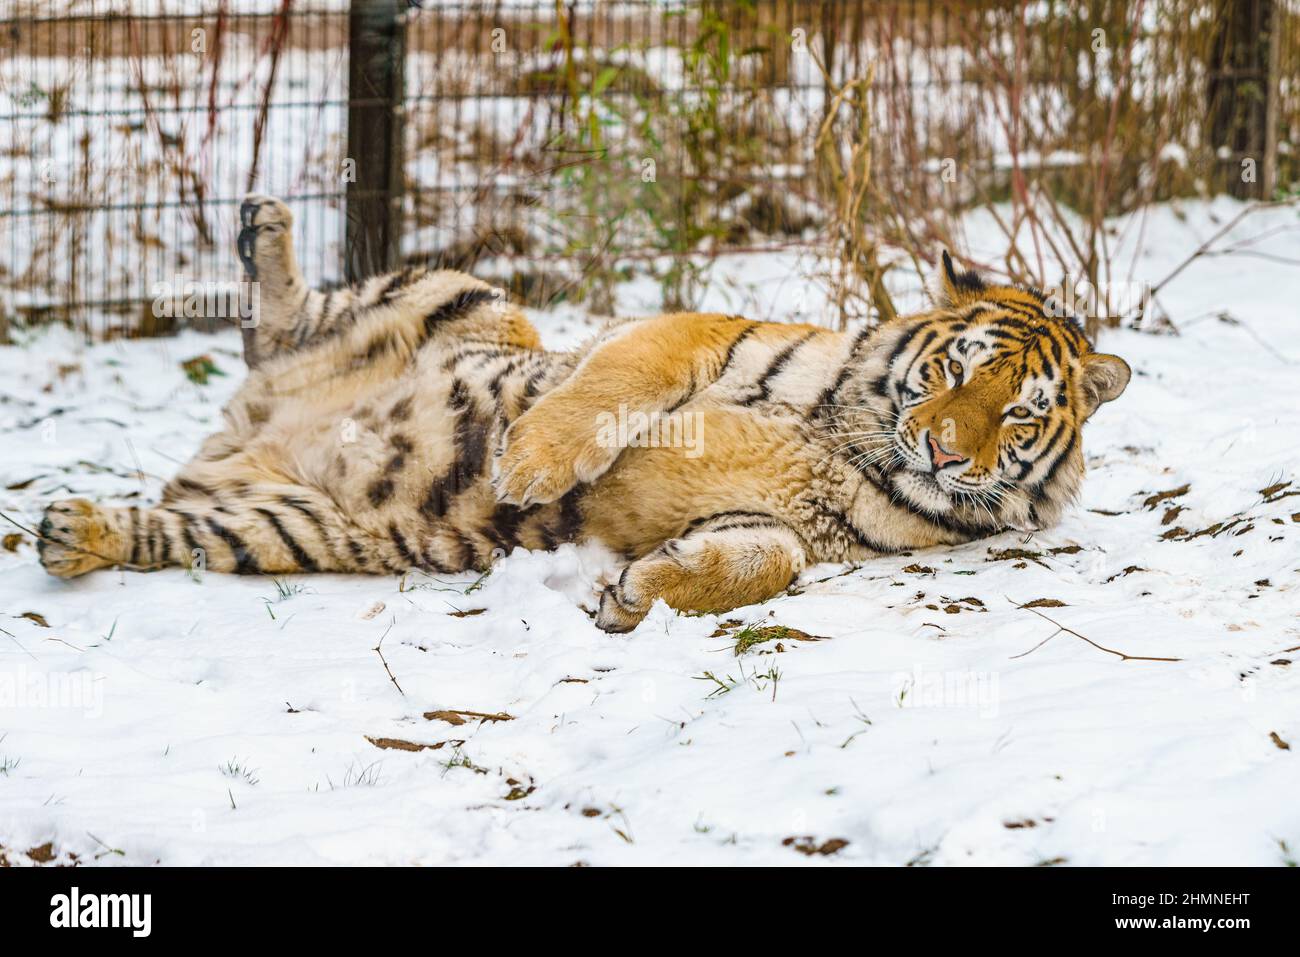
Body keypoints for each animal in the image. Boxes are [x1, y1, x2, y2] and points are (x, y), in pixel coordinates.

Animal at [32, 192, 1128, 634]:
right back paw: (264, 227)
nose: (944, 453)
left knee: (171, 521)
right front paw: (529, 461)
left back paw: (71, 531)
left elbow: (759, 559)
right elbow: (616, 384)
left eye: (1016, 415)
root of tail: (249, 423)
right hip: (461, 295)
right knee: (282, 319)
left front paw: (639, 595)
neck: (862, 444)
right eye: (955, 367)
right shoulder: (701, 331)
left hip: (286, 526)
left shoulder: (796, 528)